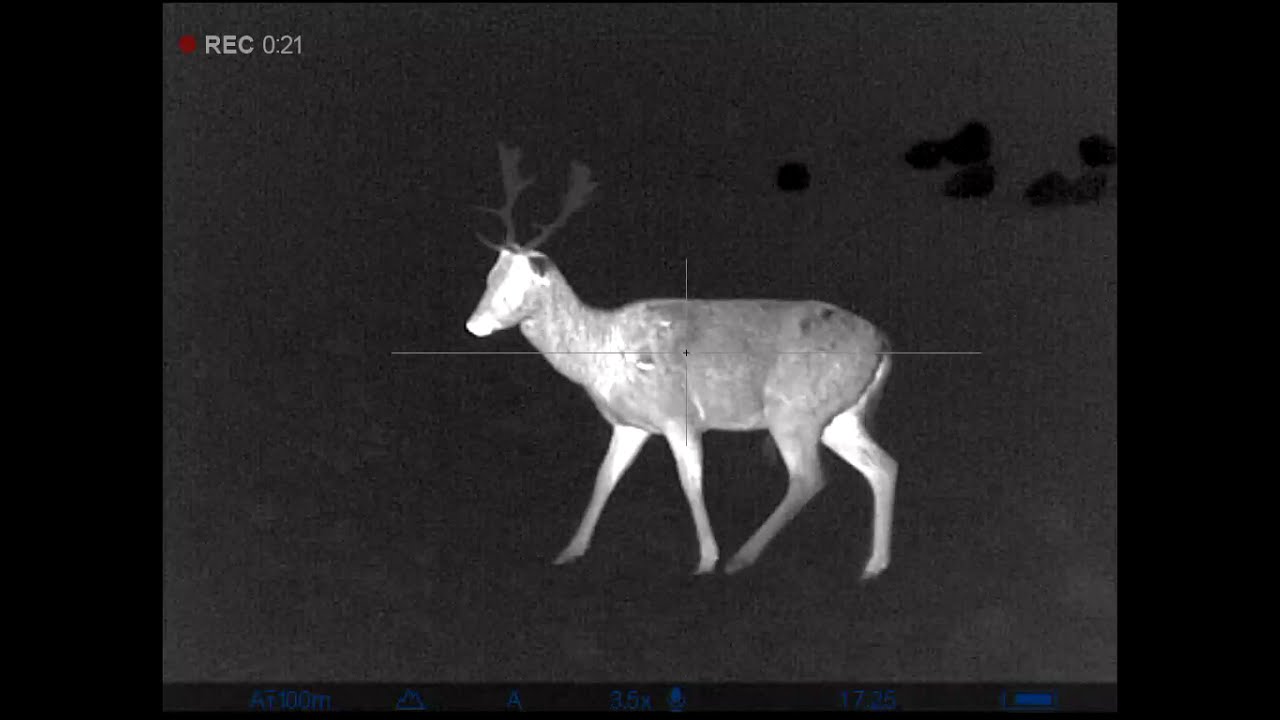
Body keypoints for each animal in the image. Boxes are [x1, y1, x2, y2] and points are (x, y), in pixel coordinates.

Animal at [464, 142, 899, 579]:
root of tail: (883, 344)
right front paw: (569, 551)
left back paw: (742, 557)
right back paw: (873, 565)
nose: (473, 324)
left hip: (793, 408)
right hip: (840, 417)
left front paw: (707, 559)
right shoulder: (629, 425)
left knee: (809, 478)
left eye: (516, 286)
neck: (602, 356)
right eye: (488, 278)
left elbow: (690, 483)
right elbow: (604, 478)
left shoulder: (678, 413)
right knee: (883, 466)